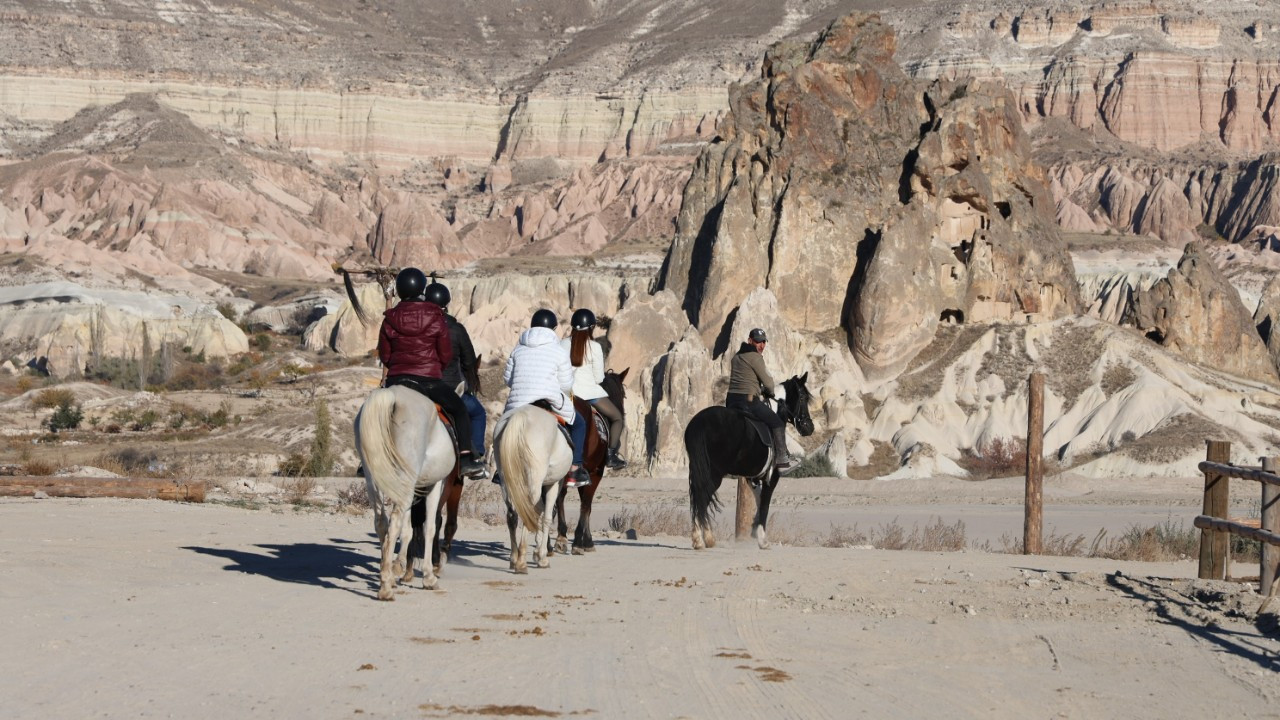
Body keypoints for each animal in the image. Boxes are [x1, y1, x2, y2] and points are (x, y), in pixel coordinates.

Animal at [355, 384, 460, 597]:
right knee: (394, 523)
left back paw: (386, 575)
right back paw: (386, 587)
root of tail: (392, 396)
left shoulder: (412, 489)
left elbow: (409, 529)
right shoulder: (435, 485)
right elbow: (430, 526)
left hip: (374, 479)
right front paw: (429, 577)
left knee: (381, 522)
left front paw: (400, 566)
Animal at [488, 407, 570, 568]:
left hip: (506, 481)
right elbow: (547, 516)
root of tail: (521, 415)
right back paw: (521, 561)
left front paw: (538, 551)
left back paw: (514, 557)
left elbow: (540, 514)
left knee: (513, 515)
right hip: (534, 480)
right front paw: (542, 555)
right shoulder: (554, 484)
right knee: (528, 512)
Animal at [552, 366, 627, 550]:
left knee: (559, 496)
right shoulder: (595, 472)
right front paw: (583, 540)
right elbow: (587, 504)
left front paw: (583, 538)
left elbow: (584, 502)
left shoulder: (582, 473)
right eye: (623, 394)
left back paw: (561, 536)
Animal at [686, 371, 814, 545]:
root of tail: (700, 422)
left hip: (698, 470)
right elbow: (765, 503)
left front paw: (754, 529)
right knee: (702, 498)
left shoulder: (751, 477)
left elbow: (759, 500)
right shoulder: (771, 477)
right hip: (714, 474)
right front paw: (762, 538)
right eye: (802, 398)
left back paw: (700, 538)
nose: (809, 427)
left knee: (697, 498)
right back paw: (705, 538)